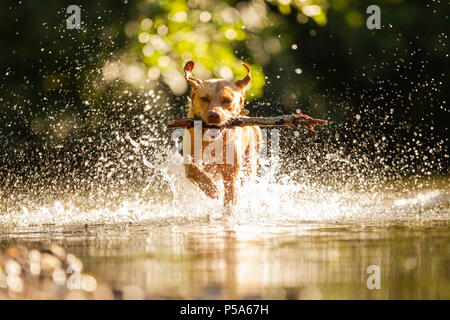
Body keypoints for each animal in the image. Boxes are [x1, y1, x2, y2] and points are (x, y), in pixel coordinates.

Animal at [182, 61, 262, 211]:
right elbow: (194, 169)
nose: (214, 115)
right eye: (204, 98)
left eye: (227, 100)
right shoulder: (189, 162)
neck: (212, 143)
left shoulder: (231, 176)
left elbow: (229, 200)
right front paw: (211, 189)